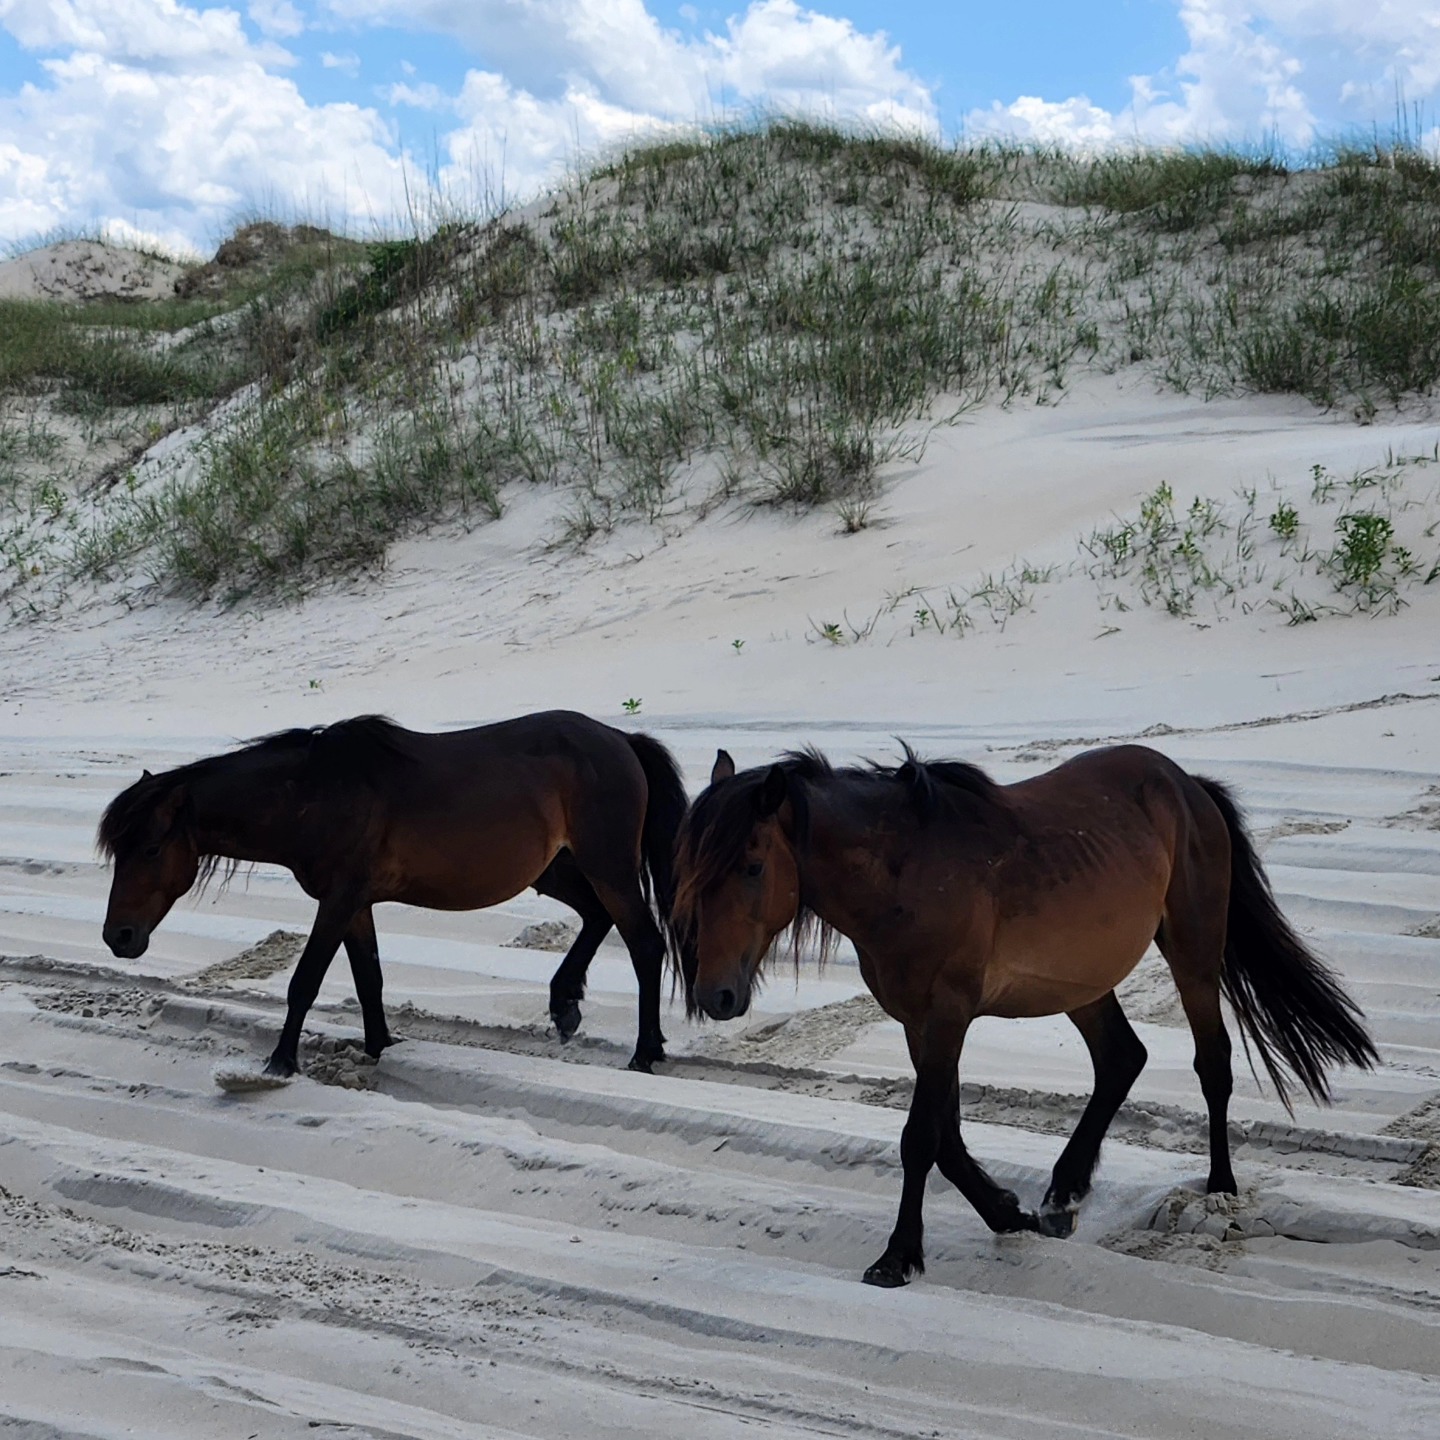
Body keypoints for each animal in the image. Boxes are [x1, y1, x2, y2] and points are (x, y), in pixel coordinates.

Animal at [99, 711, 688, 1077]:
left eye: (150, 848)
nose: (118, 937)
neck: (314, 794)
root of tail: (621, 740)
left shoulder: (338, 899)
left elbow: (305, 982)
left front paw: (280, 1063)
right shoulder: (358, 904)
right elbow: (370, 980)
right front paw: (380, 1045)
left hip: (607, 865)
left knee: (645, 944)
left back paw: (644, 1051)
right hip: (556, 870)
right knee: (596, 918)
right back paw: (565, 1004)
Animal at [673, 743, 1378, 1287]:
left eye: (753, 866)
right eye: (688, 872)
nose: (716, 996)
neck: (904, 875)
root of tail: (1184, 784)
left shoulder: (949, 1013)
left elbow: (920, 1138)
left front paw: (898, 1258)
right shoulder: (917, 1021)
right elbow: (948, 1138)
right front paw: (1011, 1213)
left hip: (1194, 954)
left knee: (1213, 1063)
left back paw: (1220, 1185)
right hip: (1084, 982)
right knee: (1122, 1059)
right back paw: (1063, 1195)